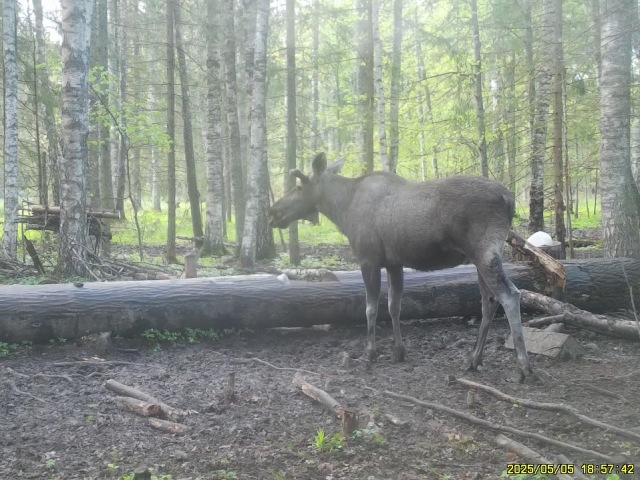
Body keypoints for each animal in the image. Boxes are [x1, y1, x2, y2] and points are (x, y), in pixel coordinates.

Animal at [268, 152, 533, 381]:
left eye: (299, 187)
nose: (273, 212)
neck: (342, 209)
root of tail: (509, 200)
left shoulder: (368, 259)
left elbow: (371, 309)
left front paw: (369, 354)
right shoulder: (394, 263)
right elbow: (394, 306)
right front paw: (398, 351)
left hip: (485, 252)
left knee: (510, 295)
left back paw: (523, 367)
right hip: (479, 259)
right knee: (489, 301)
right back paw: (474, 359)